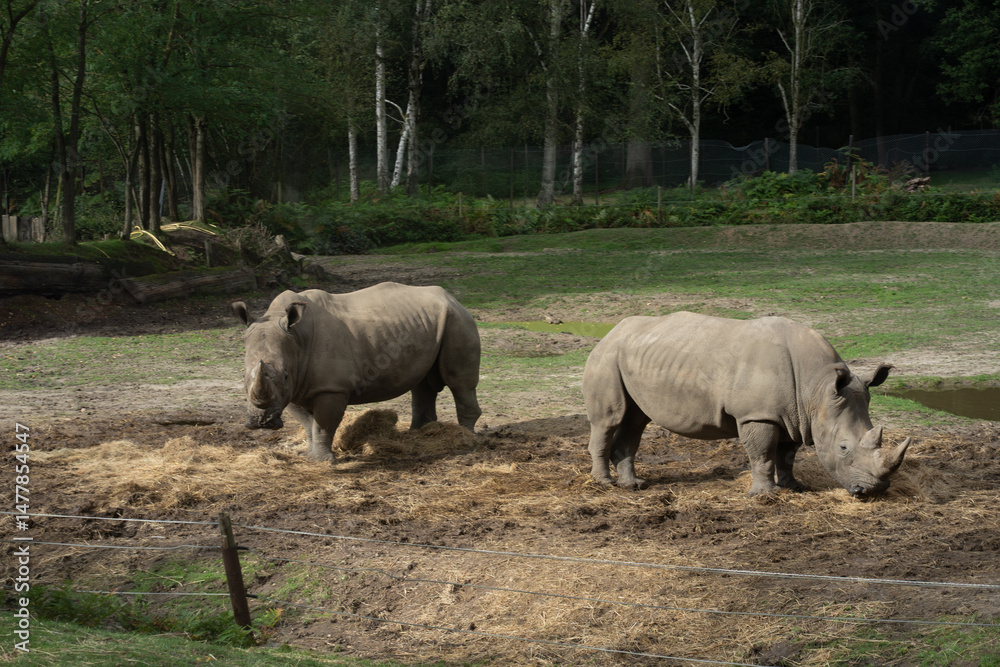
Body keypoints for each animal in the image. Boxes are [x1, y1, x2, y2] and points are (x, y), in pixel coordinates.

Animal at [231, 282, 482, 461]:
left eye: (283, 375)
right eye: (243, 378)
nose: (262, 422)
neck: (297, 338)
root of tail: (453, 298)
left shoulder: (330, 388)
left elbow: (323, 425)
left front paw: (323, 461)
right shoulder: (294, 387)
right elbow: (308, 424)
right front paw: (309, 457)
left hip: (458, 320)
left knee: (459, 383)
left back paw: (467, 439)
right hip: (429, 323)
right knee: (422, 384)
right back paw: (417, 435)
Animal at [582, 312, 911, 498]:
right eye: (843, 447)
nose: (872, 491)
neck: (816, 388)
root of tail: (611, 331)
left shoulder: (794, 415)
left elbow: (787, 455)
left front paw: (794, 488)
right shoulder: (758, 415)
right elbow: (762, 454)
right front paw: (765, 496)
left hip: (631, 355)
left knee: (635, 420)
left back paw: (633, 486)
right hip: (606, 357)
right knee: (610, 419)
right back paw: (604, 485)